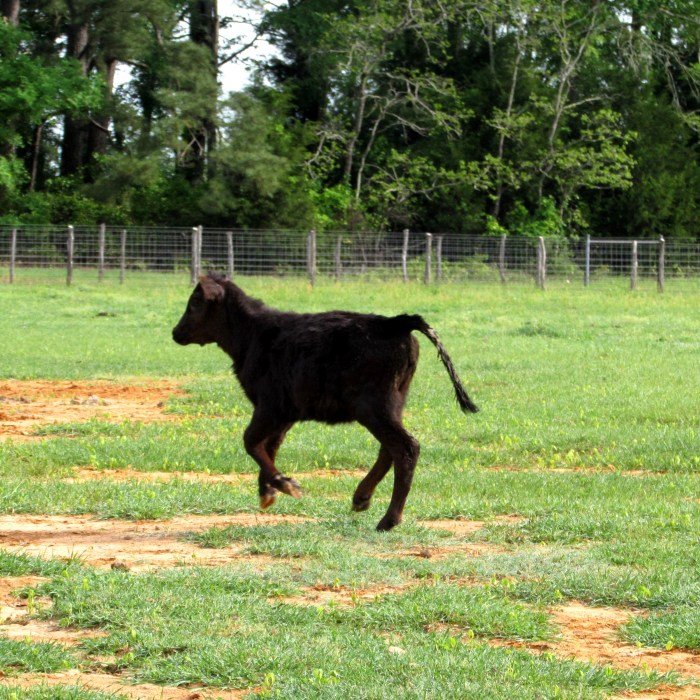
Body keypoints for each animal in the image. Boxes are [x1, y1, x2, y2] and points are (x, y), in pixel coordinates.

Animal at [172, 272, 478, 530]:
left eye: (195, 302)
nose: (176, 332)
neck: (254, 335)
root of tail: (393, 323)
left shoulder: (269, 407)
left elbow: (250, 441)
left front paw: (285, 484)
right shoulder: (284, 414)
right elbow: (268, 446)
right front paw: (268, 491)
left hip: (374, 407)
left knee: (405, 447)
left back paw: (388, 519)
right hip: (393, 404)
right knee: (389, 449)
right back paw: (361, 498)